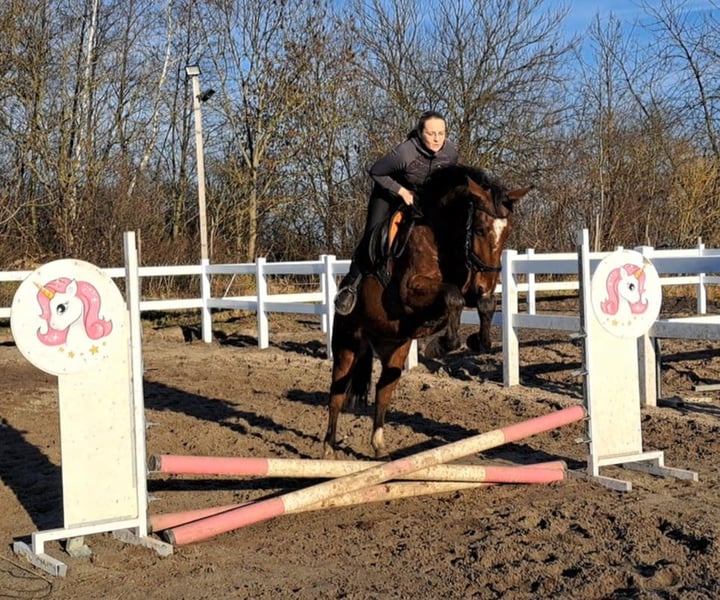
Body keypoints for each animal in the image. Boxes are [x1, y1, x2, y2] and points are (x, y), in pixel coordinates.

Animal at [325, 164, 531, 458]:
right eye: (479, 230)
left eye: (507, 232)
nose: (487, 284)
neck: (444, 237)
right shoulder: (408, 292)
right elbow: (453, 298)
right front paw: (442, 344)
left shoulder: (469, 288)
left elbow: (483, 304)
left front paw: (476, 340)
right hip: (347, 345)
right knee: (337, 393)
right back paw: (328, 448)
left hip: (394, 350)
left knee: (383, 391)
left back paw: (379, 448)